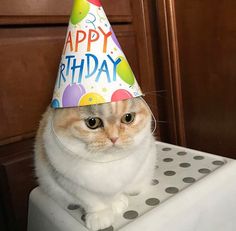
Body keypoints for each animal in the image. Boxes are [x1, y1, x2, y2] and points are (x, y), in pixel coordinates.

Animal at [34, 96, 157, 230]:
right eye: (92, 122)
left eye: (128, 118)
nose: (114, 138)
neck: (105, 160)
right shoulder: (68, 181)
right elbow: (90, 200)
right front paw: (100, 216)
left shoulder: (125, 176)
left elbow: (116, 191)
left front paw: (116, 203)